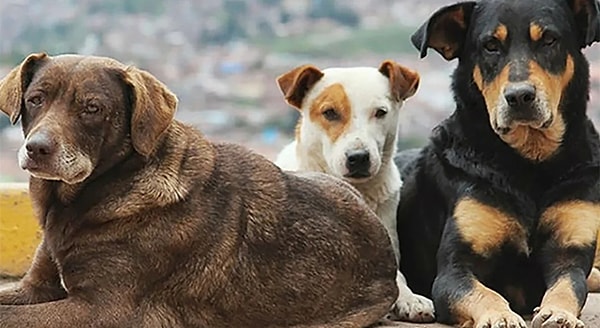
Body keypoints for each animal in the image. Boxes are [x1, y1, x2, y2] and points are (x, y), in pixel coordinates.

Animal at [398, 0, 600, 328]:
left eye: (549, 40)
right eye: (490, 46)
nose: (519, 96)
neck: (528, 163)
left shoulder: (569, 253)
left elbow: (568, 286)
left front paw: (559, 314)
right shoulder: (454, 269)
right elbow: (484, 293)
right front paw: (500, 317)